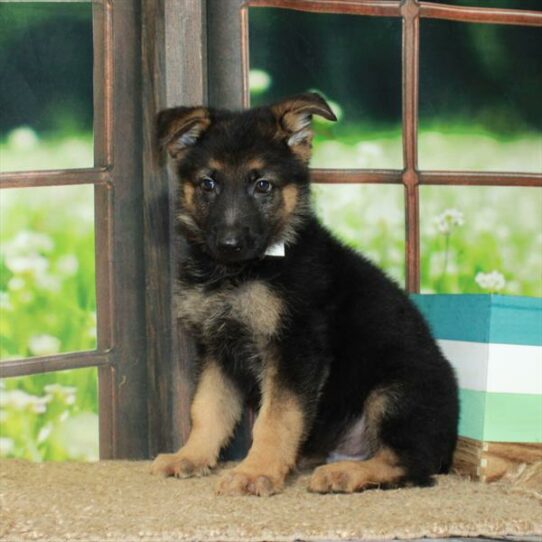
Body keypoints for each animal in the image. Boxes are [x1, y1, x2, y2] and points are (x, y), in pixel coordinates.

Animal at [151, 92, 462, 498]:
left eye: (263, 185)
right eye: (208, 184)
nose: (230, 244)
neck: (239, 273)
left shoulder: (294, 349)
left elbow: (275, 419)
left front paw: (255, 472)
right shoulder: (218, 350)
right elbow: (207, 409)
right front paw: (190, 456)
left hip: (395, 391)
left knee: (410, 465)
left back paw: (344, 474)